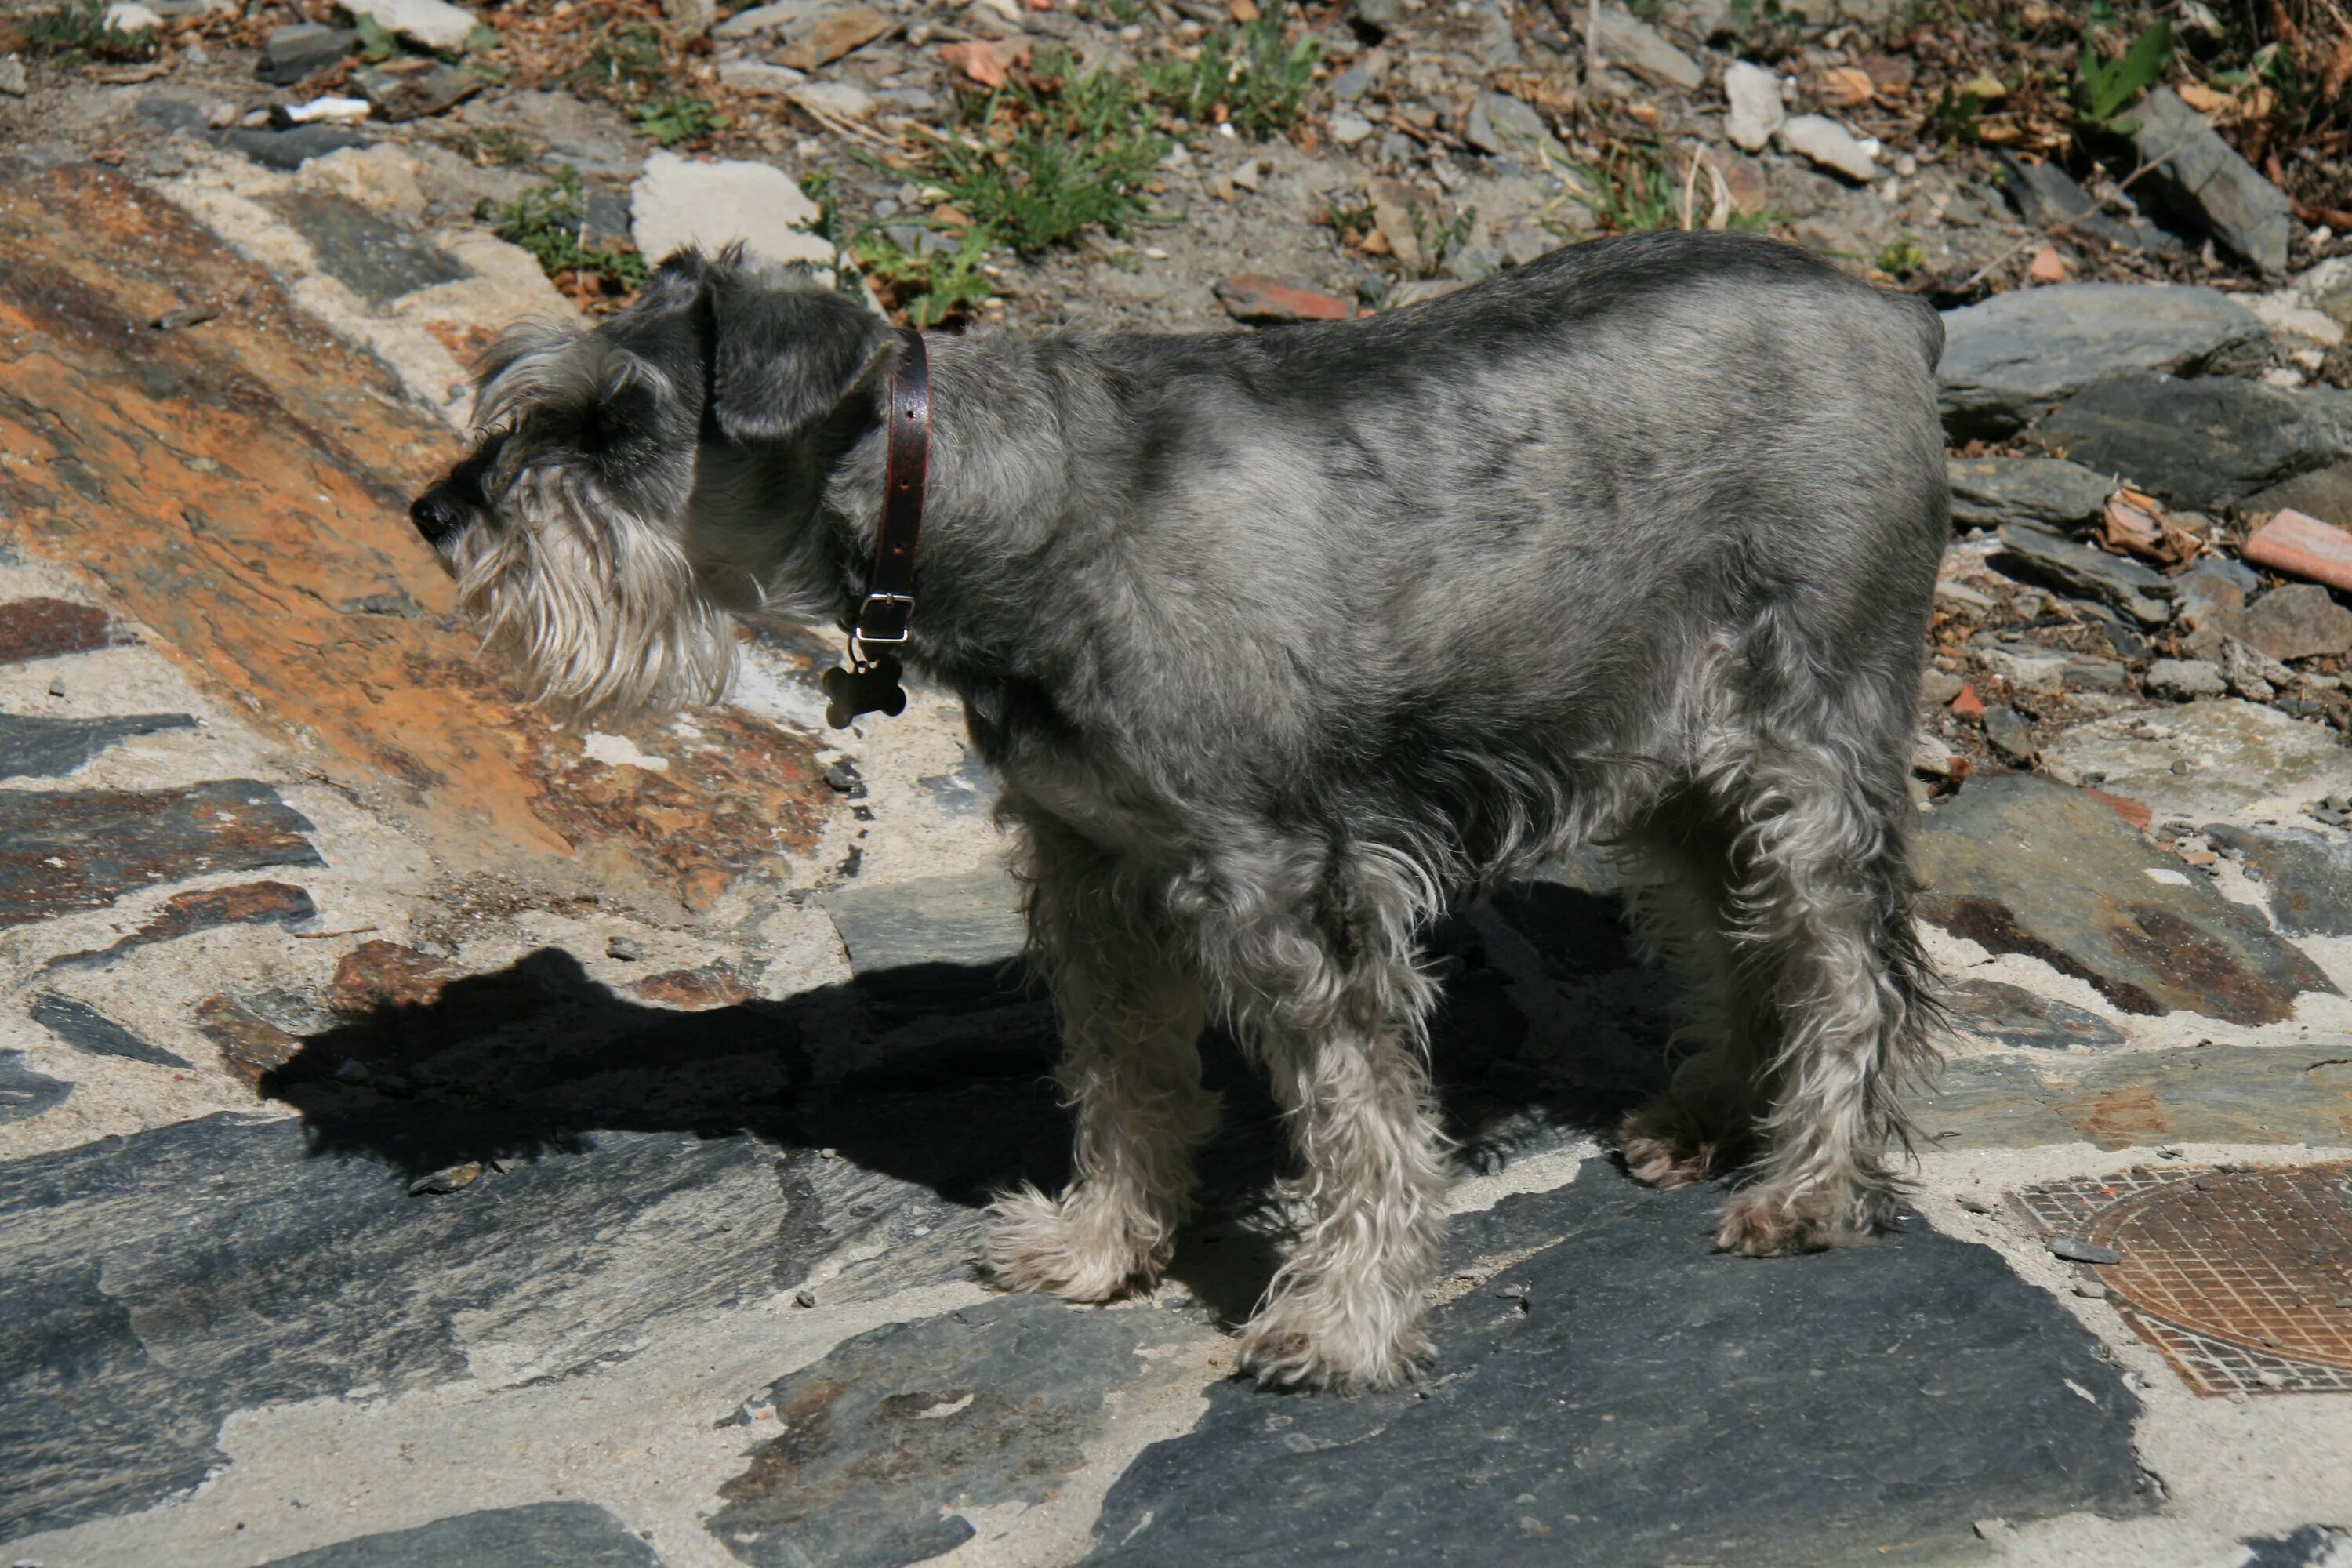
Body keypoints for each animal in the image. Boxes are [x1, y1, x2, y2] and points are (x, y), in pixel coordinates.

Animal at [409, 230, 1947, 1382]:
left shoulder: (1291, 891)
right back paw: (1705, 1117)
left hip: (1808, 754)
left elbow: (1364, 1123)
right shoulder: (1093, 866)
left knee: (1850, 973)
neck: (992, 512)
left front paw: (1341, 1324)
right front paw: (1099, 1248)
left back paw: (1812, 1189)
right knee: (1729, 935)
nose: (439, 515)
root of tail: (1893, 313)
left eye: (617, 424)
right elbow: (1123, 1078)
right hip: (1671, 761)